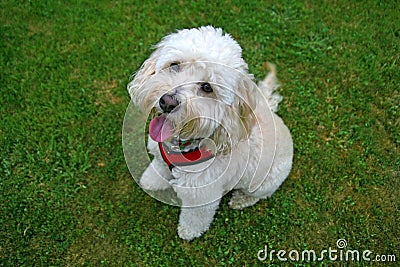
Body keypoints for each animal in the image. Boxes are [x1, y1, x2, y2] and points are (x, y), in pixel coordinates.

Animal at [128, 26, 294, 242]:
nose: (167, 102)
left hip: (265, 181)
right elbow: (158, 167)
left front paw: (188, 232)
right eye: (175, 65)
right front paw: (150, 180)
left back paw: (241, 199)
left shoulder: (202, 195)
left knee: (257, 194)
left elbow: (196, 217)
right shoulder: (160, 157)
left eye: (207, 87)